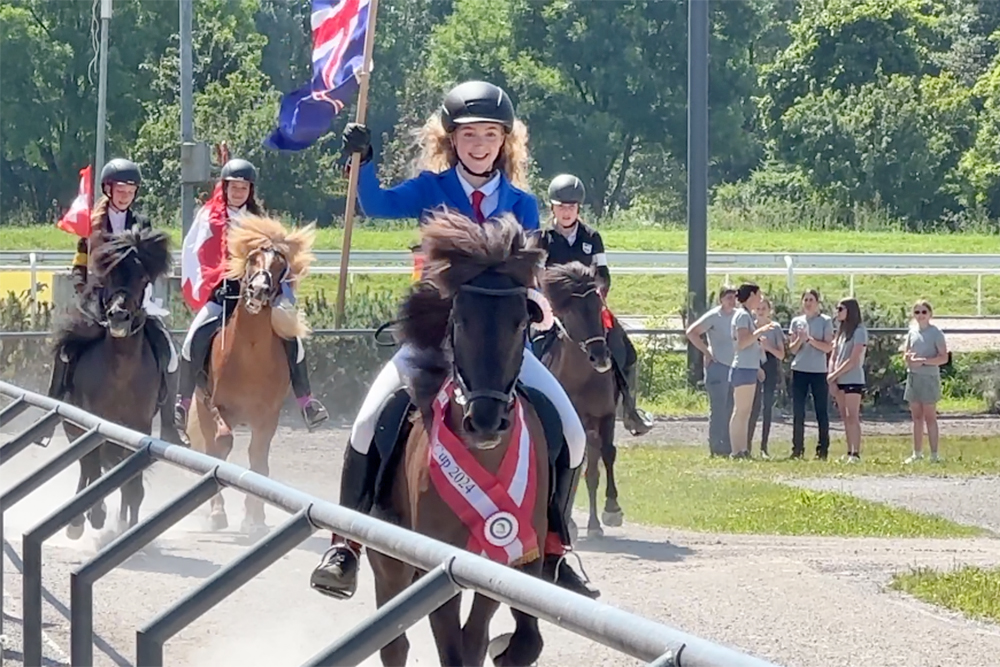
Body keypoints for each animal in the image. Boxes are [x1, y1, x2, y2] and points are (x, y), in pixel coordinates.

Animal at [50, 227, 173, 540]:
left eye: (142, 278)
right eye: (107, 278)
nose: (118, 316)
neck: (121, 372)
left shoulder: (139, 426)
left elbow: (132, 484)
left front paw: (129, 525)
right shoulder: (91, 421)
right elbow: (93, 467)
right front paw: (92, 515)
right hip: (73, 424)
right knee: (87, 467)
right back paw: (79, 522)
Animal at [186, 217, 314, 536]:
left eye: (280, 265)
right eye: (252, 259)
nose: (258, 290)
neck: (250, 355)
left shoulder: (268, 416)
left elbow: (258, 461)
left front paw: (254, 517)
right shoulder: (216, 406)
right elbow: (222, 445)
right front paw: (219, 512)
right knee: (211, 449)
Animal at [536, 264, 620, 540]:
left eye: (598, 306)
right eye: (571, 312)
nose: (600, 357)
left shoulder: (605, 416)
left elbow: (607, 454)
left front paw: (612, 509)